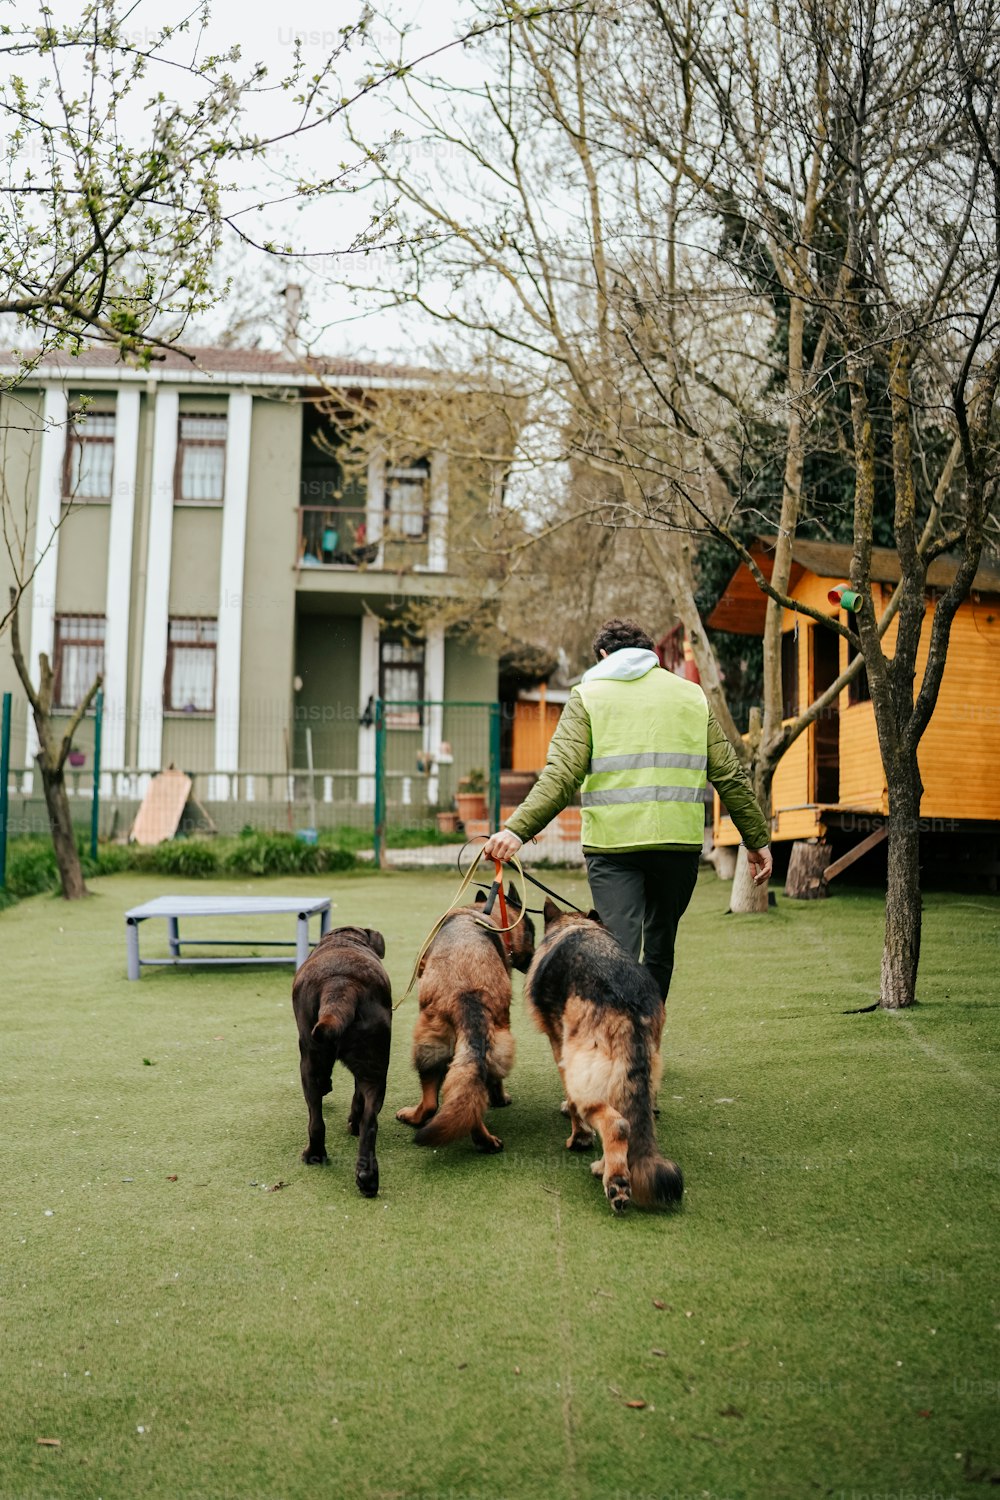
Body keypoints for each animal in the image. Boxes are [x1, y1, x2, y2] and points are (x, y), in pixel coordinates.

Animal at [289, 918, 389, 1200]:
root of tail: (342, 985)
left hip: (308, 1059)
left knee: (316, 1117)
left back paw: (314, 1155)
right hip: (375, 1067)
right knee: (369, 1121)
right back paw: (367, 1177)